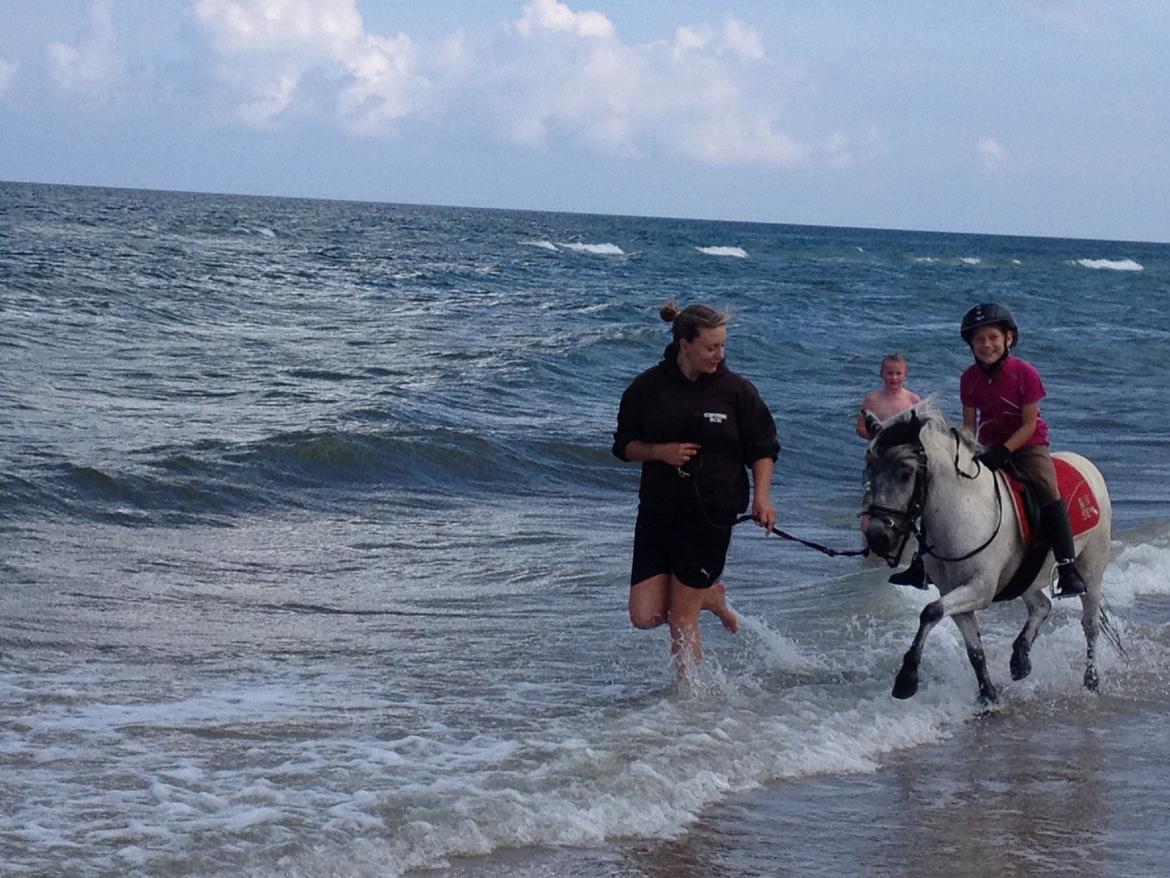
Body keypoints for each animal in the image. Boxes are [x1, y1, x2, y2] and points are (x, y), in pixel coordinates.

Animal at [861, 405, 1113, 704]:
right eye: (870, 471)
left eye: (905, 472)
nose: (878, 537)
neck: (963, 506)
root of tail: (1086, 466)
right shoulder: (953, 590)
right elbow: (972, 648)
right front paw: (988, 696)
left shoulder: (980, 589)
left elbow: (930, 611)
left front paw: (906, 679)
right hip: (1026, 576)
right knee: (1041, 605)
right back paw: (1020, 660)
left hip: (1091, 568)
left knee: (1090, 625)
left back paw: (1091, 682)